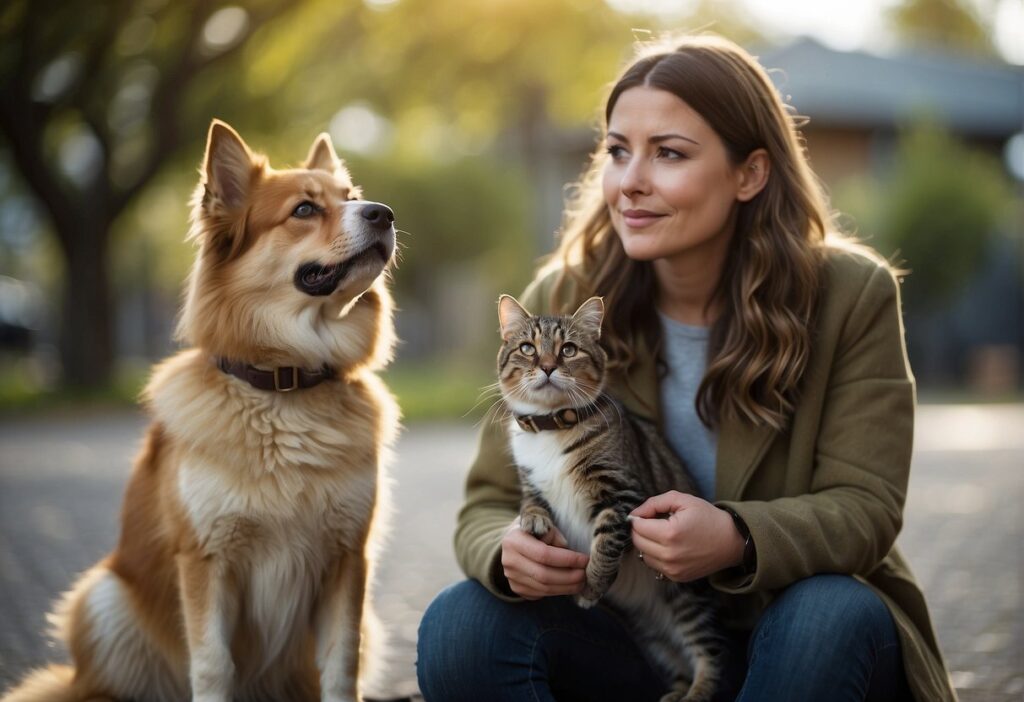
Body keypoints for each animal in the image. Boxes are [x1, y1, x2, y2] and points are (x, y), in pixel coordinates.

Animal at [4, 120, 403, 702]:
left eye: (351, 197)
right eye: (304, 209)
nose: (384, 213)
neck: (283, 388)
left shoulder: (347, 558)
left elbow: (340, 663)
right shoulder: (206, 559)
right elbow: (213, 664)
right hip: (100, 598)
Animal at [497, 292, 724, 702]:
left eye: (568, 349)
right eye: (527, 348)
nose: (549, 367)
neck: (552, 427)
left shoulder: (619, 496)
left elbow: (604, 548)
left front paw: (591, 587)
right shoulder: (531, 482)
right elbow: (531, 503)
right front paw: (533, 522)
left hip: (687, 598)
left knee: (709, 655)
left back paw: (696, 692)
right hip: (650, 635)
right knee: (676, 660)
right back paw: (675, 693)